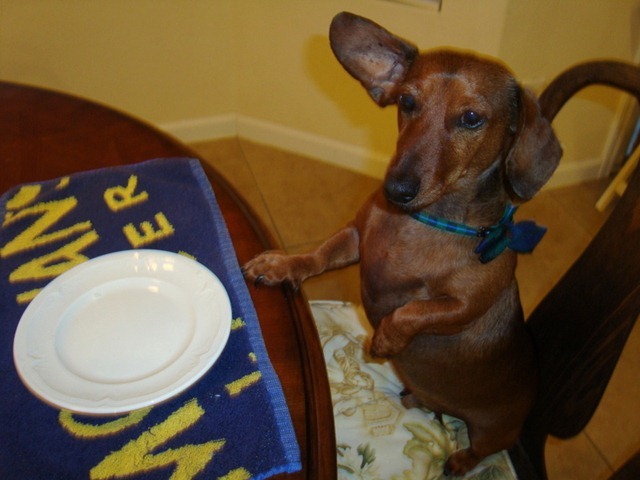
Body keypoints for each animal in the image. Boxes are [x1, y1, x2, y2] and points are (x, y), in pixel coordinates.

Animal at [242, 12, 564, 476]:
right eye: (408, 102)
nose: (395, 190)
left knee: (480, 448)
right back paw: (414, 397)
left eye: (471, 118)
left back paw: (459, 460)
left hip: (495, 431)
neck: (421, 222)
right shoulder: (355, 237)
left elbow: (414, 311)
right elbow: (317, 256)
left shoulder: (462, 306)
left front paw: (386, 341)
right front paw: (281, 265)